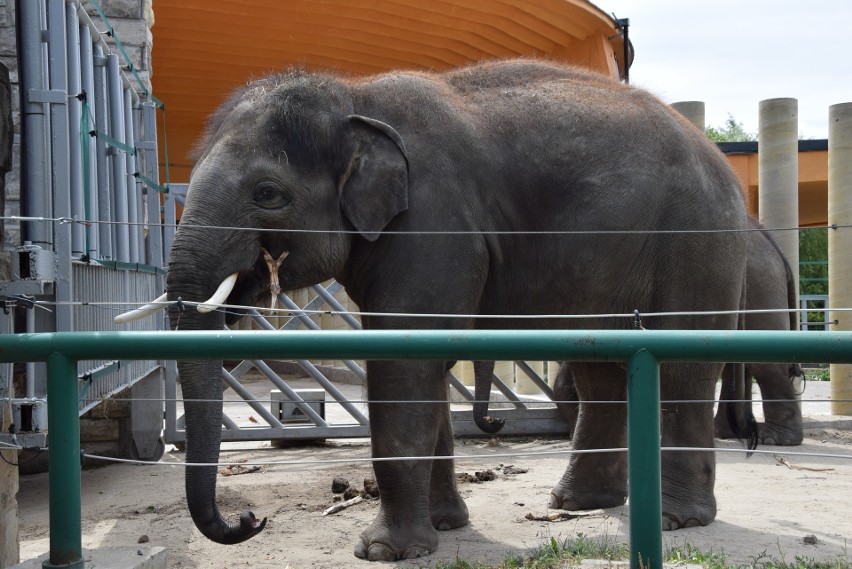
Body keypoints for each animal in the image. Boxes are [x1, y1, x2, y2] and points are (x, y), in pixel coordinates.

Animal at [150, 58, 748, 560]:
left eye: (268, 194)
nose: (250, 519)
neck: (353, 95)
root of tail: (720, 159)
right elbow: (424, 362)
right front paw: (444, 526)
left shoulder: (433, 224)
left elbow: (403, 365)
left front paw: (384, 552)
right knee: (599, 371)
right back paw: (576, 505)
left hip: (697, 243)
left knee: (683, 366)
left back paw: (676, 519)